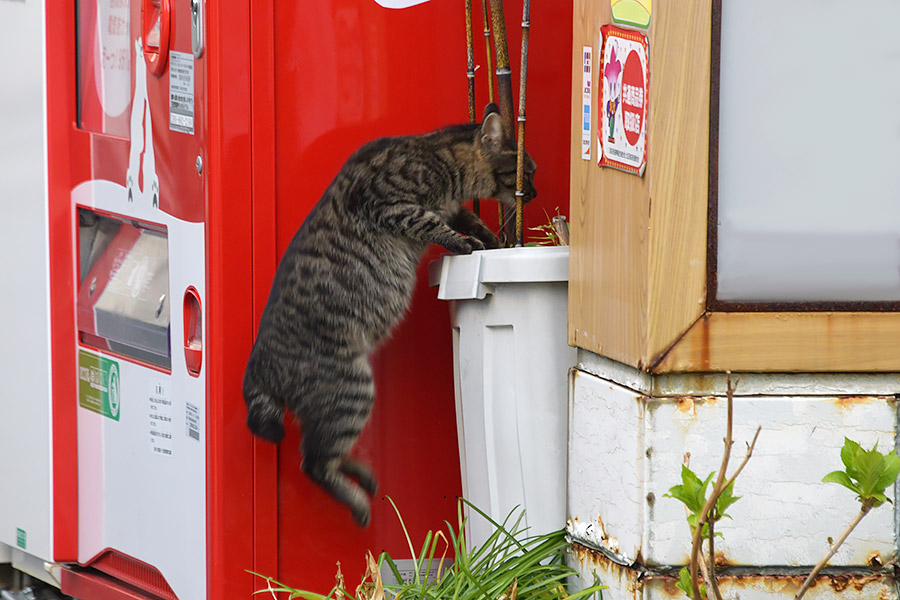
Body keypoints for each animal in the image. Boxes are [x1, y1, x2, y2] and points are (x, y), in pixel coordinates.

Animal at [243, 105, 536, 528]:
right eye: (528, 172)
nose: (534, 192)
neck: (438, 157)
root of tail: (257, 370)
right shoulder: (390, 203)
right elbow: (433, 223)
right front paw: (464, 243)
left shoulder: (454, 209)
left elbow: (471, 221)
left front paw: (493, 241)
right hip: (351, 390)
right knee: (314, 462)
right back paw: (358, 502)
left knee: (324, 452)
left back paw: (363, 477)